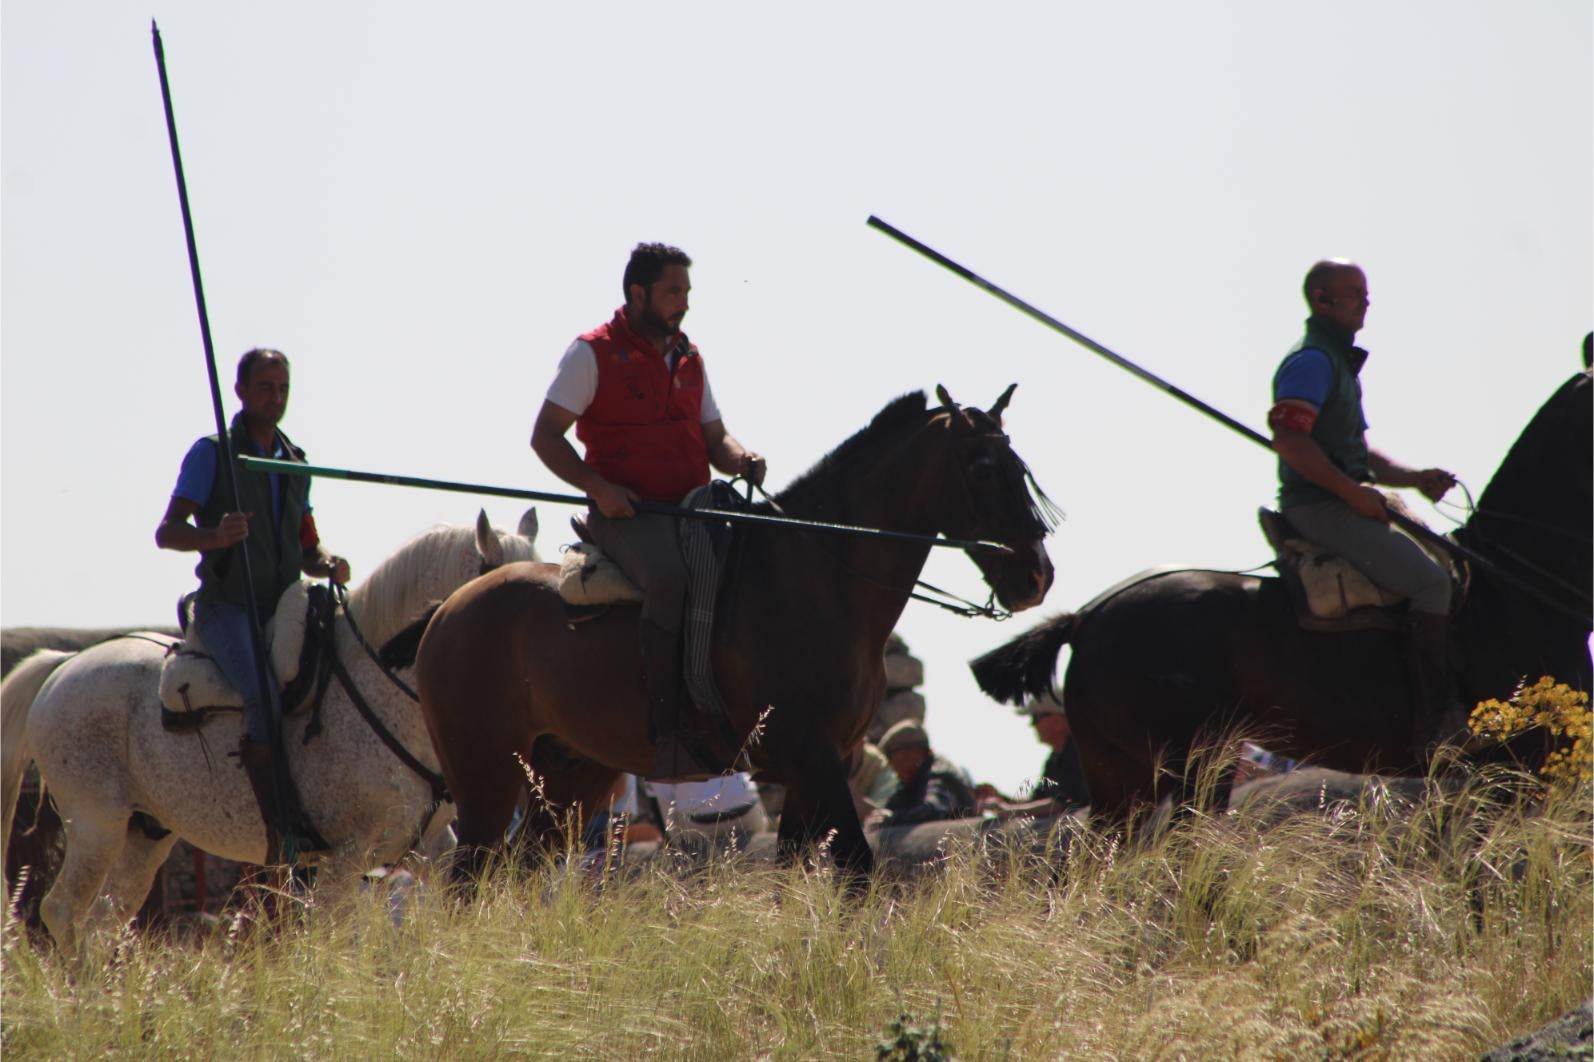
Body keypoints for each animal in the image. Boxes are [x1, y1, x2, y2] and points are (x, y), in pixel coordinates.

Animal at [417, 387, 1058, 873]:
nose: (1038, 575)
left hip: (570, 776)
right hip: (488, 779)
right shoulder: (813, 757)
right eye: (983, 469)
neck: (820, 572)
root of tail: (449, 610)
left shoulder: (812, 767)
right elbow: (856, 871)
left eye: (1020, 469)